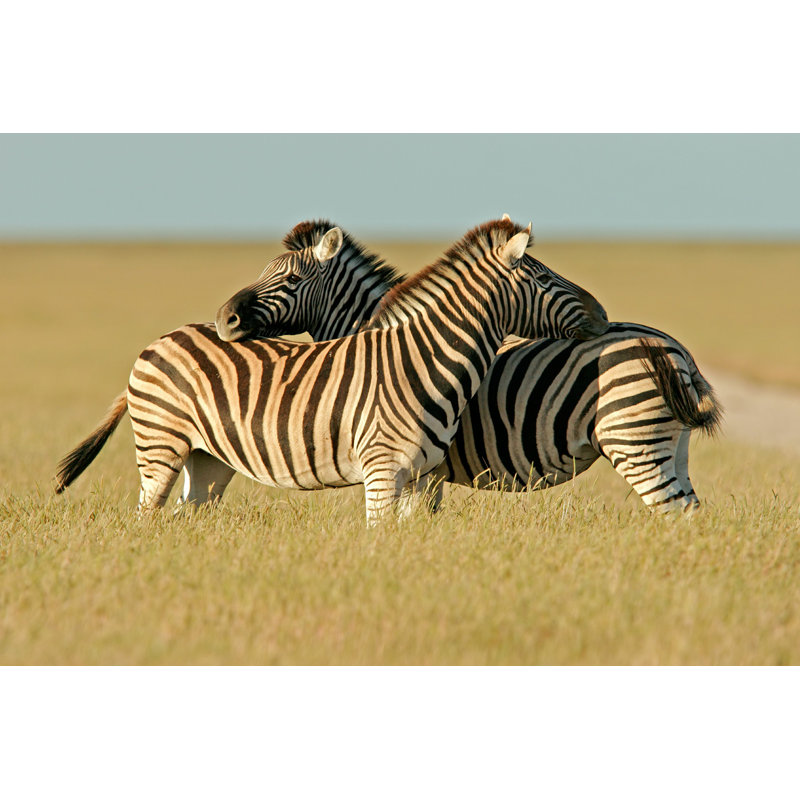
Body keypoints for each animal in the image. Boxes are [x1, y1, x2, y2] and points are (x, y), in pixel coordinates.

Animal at [54, 218, 609, 523]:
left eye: (290, 278)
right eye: (543, 278)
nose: (603, 313)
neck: (422, 354)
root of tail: (158, 340)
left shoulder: (422, 475)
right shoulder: (393, 472)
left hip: (205, 458)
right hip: (162, 445)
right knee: (148, 517)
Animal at [217, 220, 722, 512]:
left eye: (291, 278)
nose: (225, 319)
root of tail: (675, 349)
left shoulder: (422, 472)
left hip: (632, 440)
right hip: (670, 444)